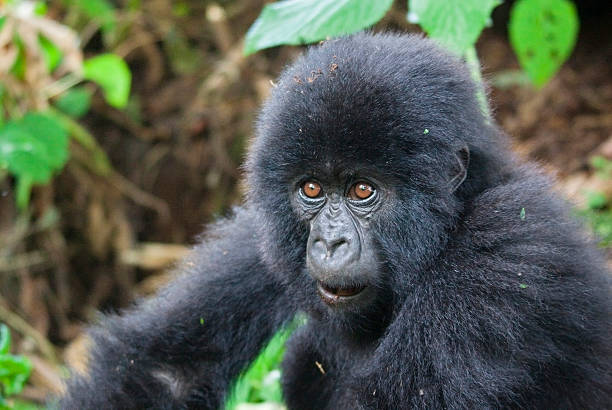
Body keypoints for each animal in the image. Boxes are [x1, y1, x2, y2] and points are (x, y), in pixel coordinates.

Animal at [58, 32, 612, 410]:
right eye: (312, 190)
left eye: (363, 190)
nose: (330, 242)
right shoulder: (261, 230)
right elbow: (163, 371)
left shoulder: (508, 248)